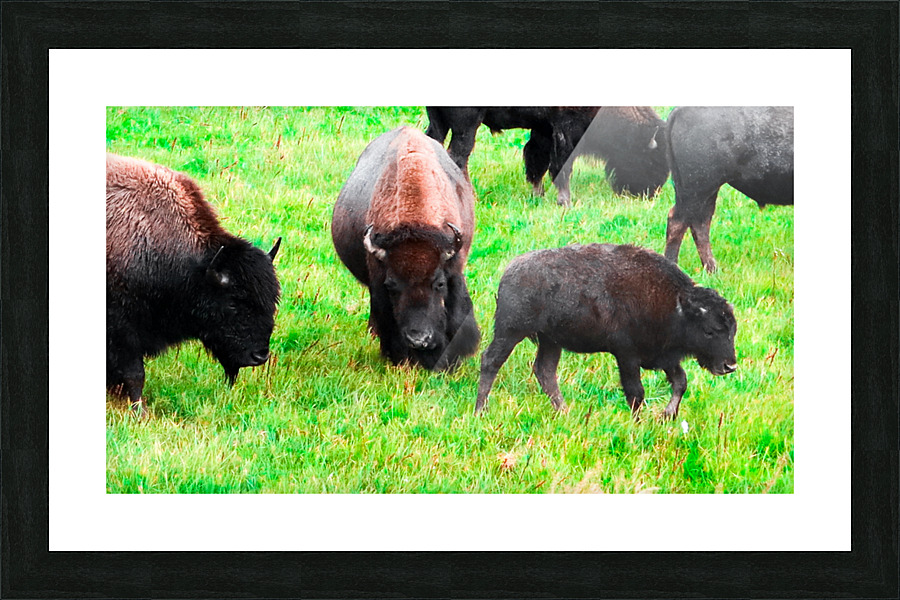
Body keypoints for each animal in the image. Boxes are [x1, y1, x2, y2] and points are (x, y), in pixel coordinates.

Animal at [106, 154, 281, 415]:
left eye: (272, 301)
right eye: (233, 303)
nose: (259, 356)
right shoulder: (123, 330)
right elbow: (135, 373)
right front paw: (140, 411)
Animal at [475, 244, 737, 418]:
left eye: (732, 331)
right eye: (710, 331)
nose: (730, 366)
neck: (676, 305)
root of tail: (509, 271)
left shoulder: (664, 357)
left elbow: (680, 382)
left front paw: (667, 415)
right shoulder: (627, 356)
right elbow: (636, 392)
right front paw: (639, 422)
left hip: (551, 340)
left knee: (545, 371)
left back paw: (565, 412)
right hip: (510, 332)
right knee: (491, 361)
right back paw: (481, 411)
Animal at [664, 106, 794, 272]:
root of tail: (680, 110)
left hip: (706, 192)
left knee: (700, 222)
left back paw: (712, 270)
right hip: (697, 189)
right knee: (679, 222)